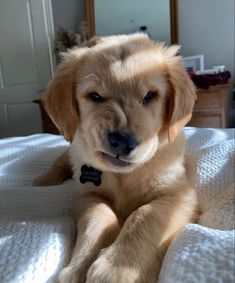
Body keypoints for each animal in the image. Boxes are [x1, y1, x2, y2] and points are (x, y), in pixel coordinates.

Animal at [37, 34, 198, 282]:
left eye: (150, 95)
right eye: (95, 96)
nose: (122, 141)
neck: (124, 175)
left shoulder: (178, 194)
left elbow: (144, 215)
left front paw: (116, 268)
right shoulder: (88, 195)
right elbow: (99, 216)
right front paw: (79, 267)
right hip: (70, 153)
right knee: (59, 164)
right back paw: (43, 180)